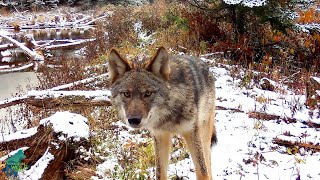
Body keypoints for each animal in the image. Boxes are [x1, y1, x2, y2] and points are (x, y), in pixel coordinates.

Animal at [109, 46, 216, 180]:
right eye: (127, 94)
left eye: (148, 93)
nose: (133, 120)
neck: (169, 112)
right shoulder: (160, 135)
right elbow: (160, 174)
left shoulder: (191, 133)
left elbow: (203, 172)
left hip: (204, 134)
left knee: (208, 163)